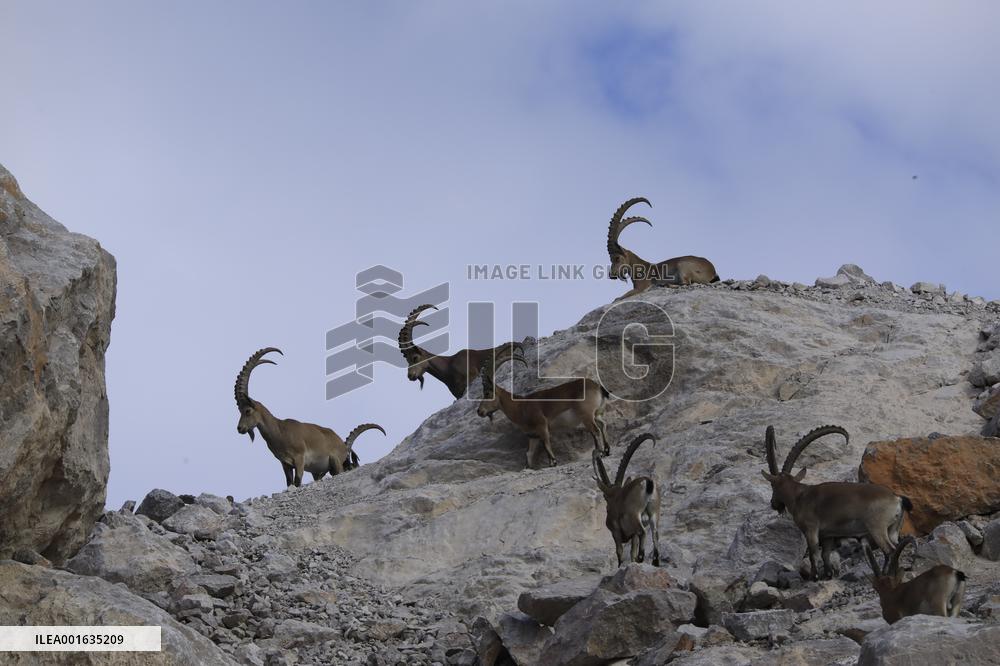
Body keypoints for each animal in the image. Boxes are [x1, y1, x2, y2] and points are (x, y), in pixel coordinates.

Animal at [234, 348, 385, 487]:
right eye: (239, 411)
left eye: (247, 411)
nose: (240, 428)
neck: (280, 431)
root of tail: (340, 442)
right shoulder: (285, 464)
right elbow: (289, 483)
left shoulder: (299, 459)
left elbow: (297, 481)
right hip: (318, 472)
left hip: (336, 463)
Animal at [476, 345, 610, 467]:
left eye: (487, 393)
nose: (479, 411)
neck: (520, 406)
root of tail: (598, 387)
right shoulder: (532, 436)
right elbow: (529, 454)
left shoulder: (542, 425)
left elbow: (546, 444)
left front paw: (553, 462)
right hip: (596, 413)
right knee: (603, 424)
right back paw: (607, 451)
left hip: (586, 414)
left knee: (596, 430)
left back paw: (600, 452)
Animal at [593, 433, 661, 567]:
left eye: (604, 497)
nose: (607, 508)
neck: (615, 497)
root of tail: (647, 482)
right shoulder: (632, 535)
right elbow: (632, 551)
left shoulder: (615, 532)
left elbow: (619, 551)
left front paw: (620, 566)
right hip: (654, 512)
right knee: (655, 533)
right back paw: (655, 562)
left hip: (634, 514)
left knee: (643, 532)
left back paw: (641, 557)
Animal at [760, 424, 911, 580]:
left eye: (772, 485)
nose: (773, 504)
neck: (799, 496)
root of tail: (897, 498)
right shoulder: (828, 535)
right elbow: (825, 554)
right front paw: (828, 574)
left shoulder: (811, 529)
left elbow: (814, 554)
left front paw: (814, 576)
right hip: (893, 530)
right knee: (896, 547)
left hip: (877, 528)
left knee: (890, 550)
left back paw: (886, 574)